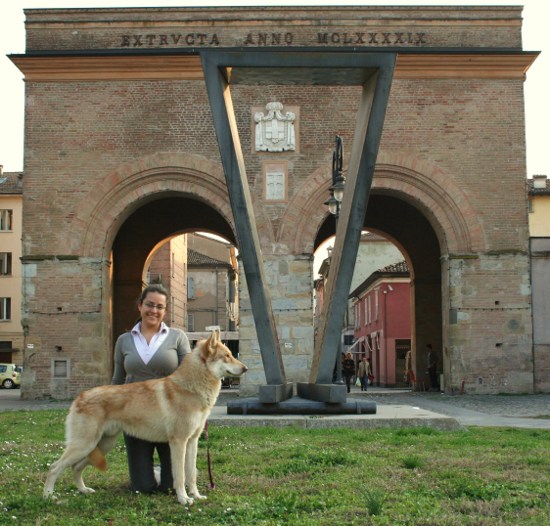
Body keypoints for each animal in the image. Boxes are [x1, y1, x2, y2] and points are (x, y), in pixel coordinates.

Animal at [43, 332, 248, 510]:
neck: (191, 388)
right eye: (227, 356)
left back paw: (83, 490)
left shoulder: (192, 442)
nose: (245, 368)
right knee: (54, 468)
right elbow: (180, 476)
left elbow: (191, 475)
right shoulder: (178, 443)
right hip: (85, 445)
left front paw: (196, 496)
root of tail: (80, 397)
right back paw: (48, 496)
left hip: (101, 445)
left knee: (76, 468)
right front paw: (183, 499)